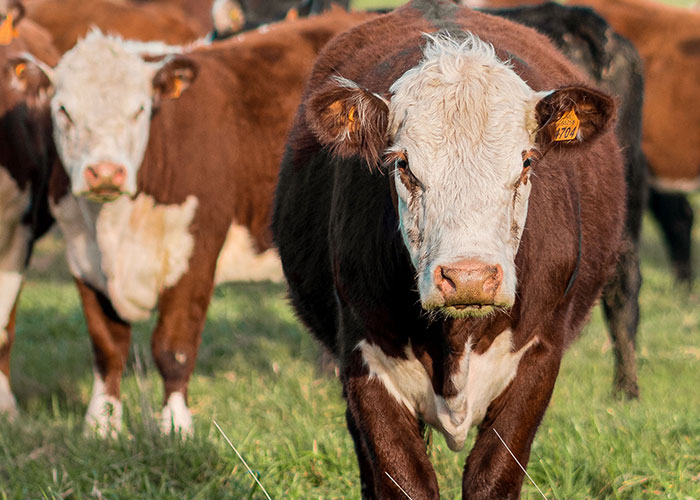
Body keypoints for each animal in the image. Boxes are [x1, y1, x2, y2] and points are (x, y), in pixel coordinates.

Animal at [35, 9, 369, 437]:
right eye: (64, 111)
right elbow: (107, 347)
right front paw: (101, 426)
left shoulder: (198, 248)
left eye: (139, 110)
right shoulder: (81, 255)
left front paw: (175, 428)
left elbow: (173, 346)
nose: (105, 173)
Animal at [272, 1, 625, 498]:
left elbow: (493, 477)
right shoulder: (363, 362)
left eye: (526, 162)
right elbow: (402, 478)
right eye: (402, 163)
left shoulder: (538, 359)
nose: (469, 277)